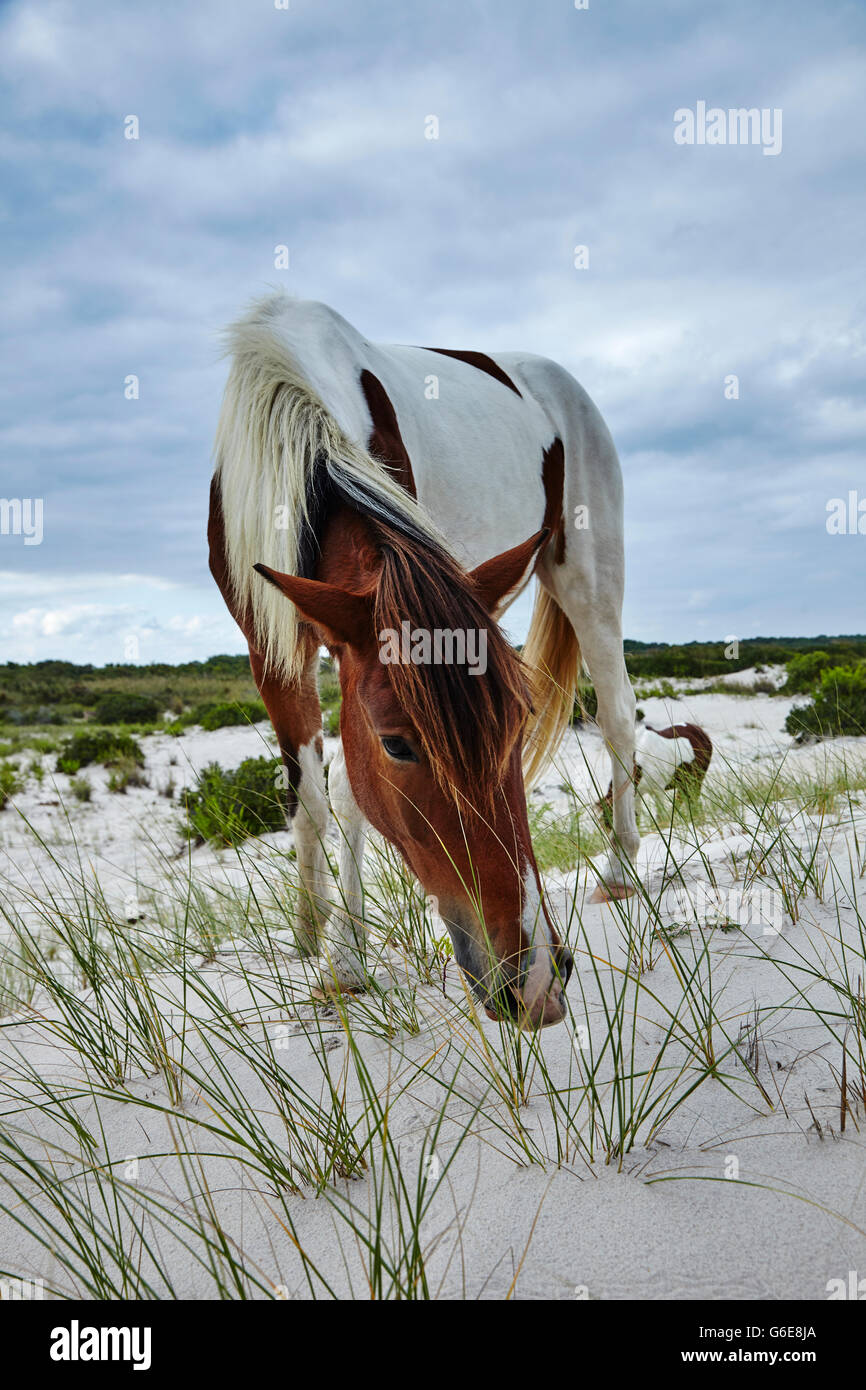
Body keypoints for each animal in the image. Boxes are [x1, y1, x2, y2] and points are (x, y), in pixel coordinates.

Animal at [209, 296, 639, 1034]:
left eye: (520, 723)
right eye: (397, 746)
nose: (535, 981)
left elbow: (343, 791)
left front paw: (345, 957)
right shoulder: (271, 646)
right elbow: (309, 798)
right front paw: (314, 936)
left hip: (590, 581)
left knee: (617, 718)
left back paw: (618, 867)